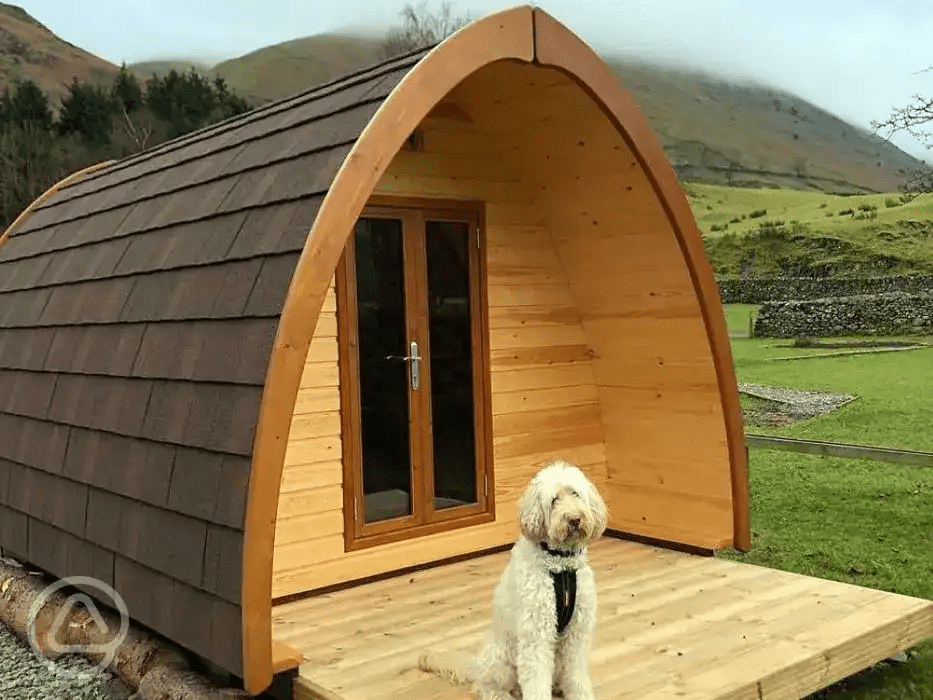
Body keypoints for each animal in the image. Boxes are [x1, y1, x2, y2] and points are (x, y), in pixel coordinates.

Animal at [418, 460, 608, 700]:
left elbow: (576, 675)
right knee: (483, 686)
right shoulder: (536, 633)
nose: (575, 519)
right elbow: (536, 683)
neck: (560, 566)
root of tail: (478, 665)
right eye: (554, 500)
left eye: (575, 494)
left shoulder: (577, 632)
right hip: (503, 661)